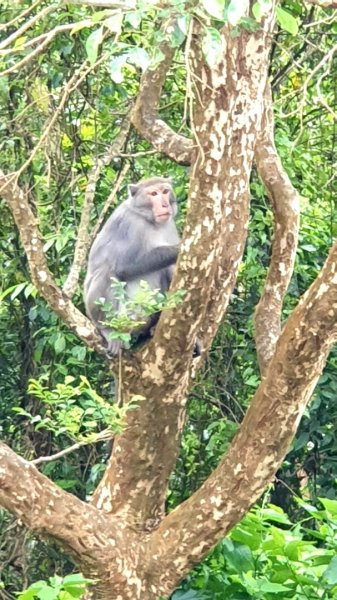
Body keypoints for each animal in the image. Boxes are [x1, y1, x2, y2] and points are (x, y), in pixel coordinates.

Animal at [83, 178, 180, 356]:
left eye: (165, 191)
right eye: (153, 193)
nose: (164, 204)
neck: (148, 219)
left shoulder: (170, 225)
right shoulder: (128, 223)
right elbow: (123, 266)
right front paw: (179, 248)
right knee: (107, 272)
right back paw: (108, 330)